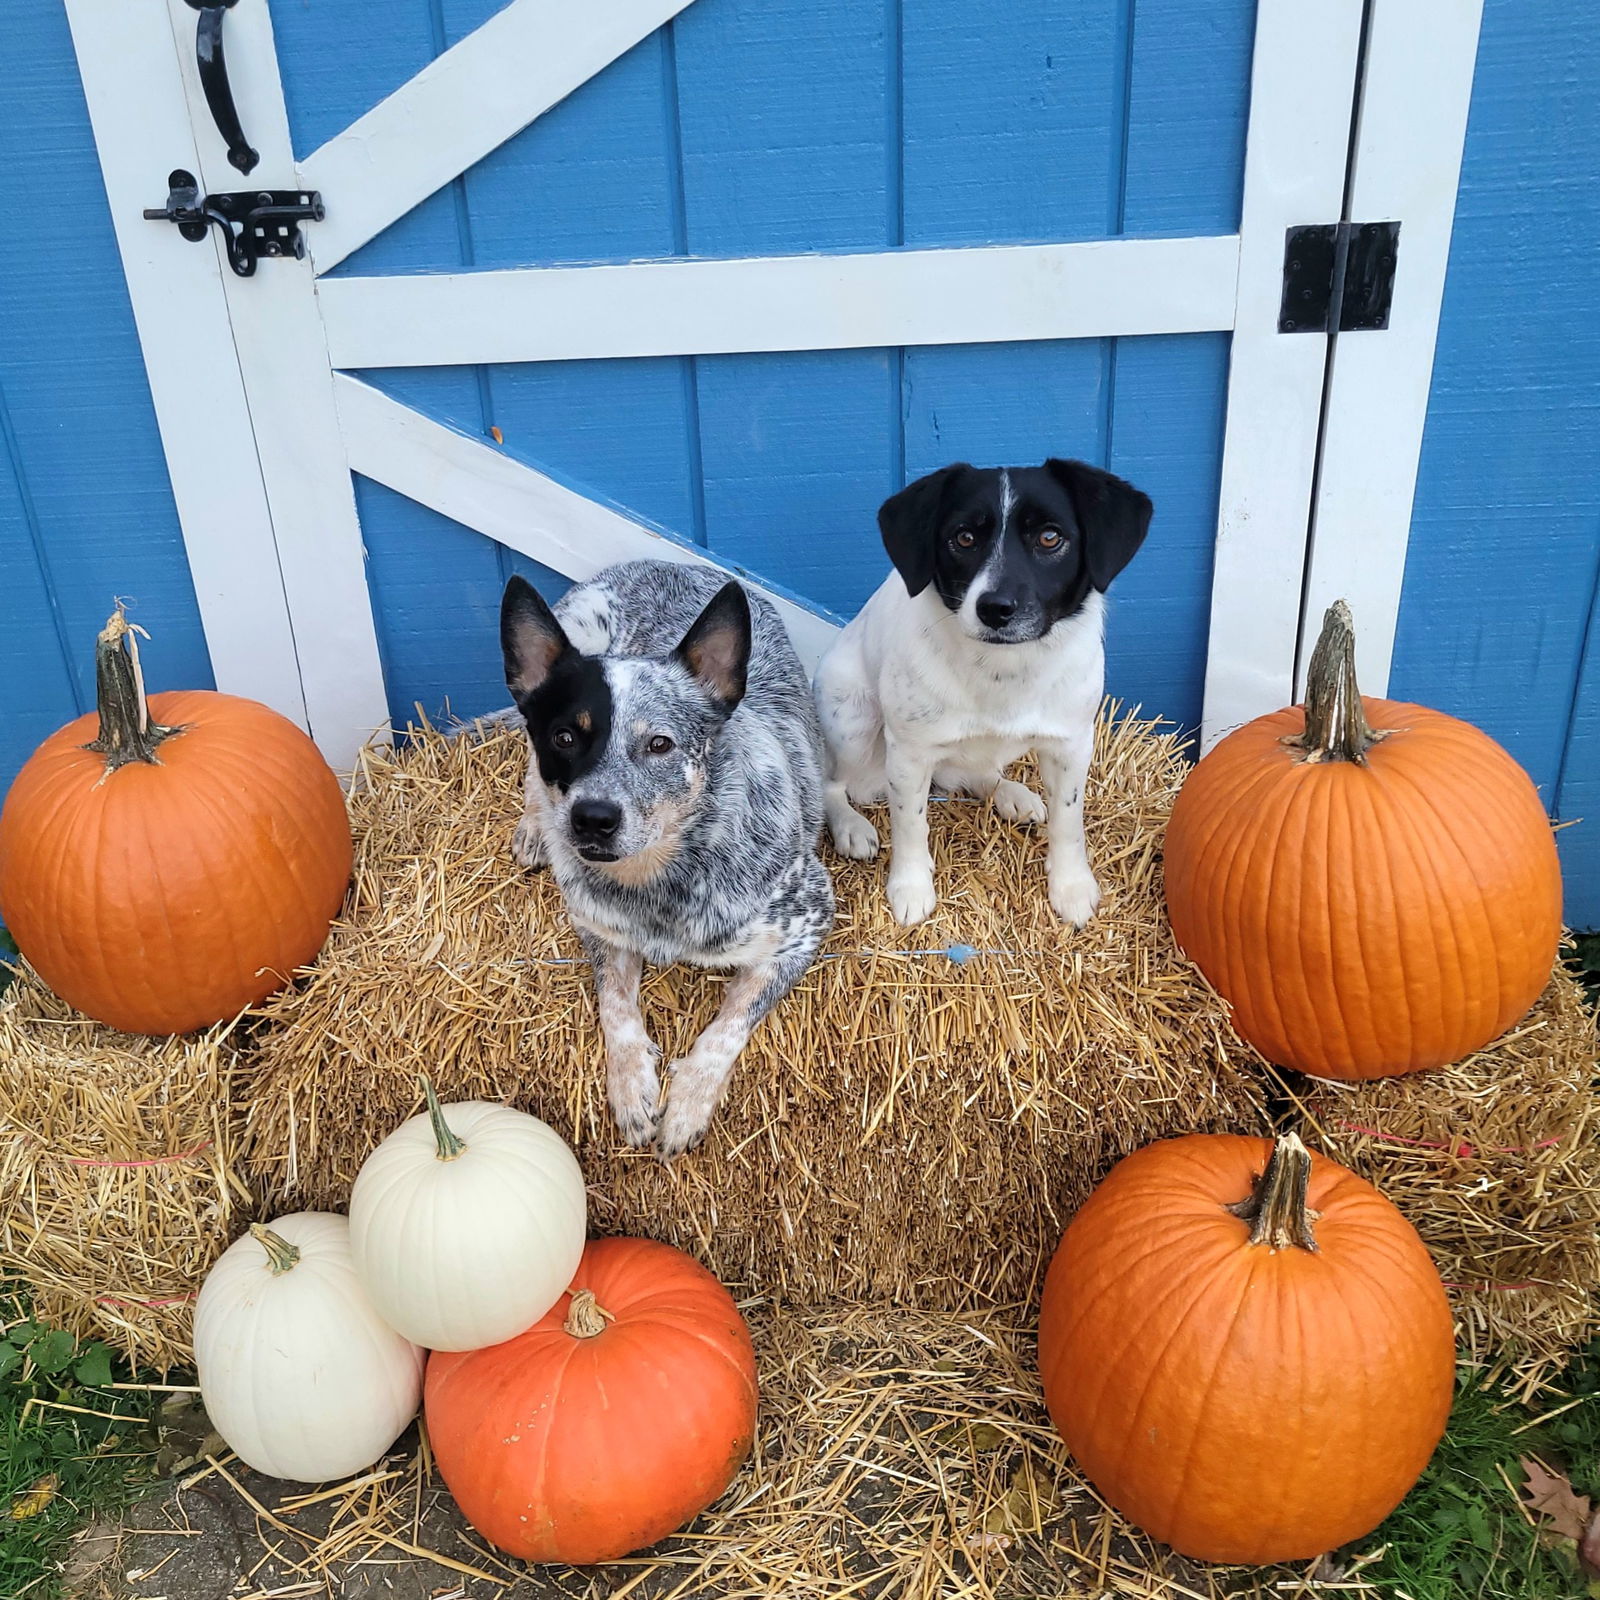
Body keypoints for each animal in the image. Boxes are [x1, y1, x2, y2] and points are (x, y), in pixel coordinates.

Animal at [496, 556, 838, 1158]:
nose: (592, 818)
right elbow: (615, 1007)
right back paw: (536, 825)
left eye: (660, 744)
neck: (660, 878)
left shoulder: (807, 922)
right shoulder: (596, 926)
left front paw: (686, 1105)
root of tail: (666, 559)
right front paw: (631, 1088)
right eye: (564, 737)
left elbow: (730, 1023)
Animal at [819, 460, 1145, 928]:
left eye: (1050, 537)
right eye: (964, 538)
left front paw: (1070, 887)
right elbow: (910, 825)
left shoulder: (1071, 744)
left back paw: (1013, 794)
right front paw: (911, 888)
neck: (1002, 670)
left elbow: (1068, 821)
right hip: (852, 721)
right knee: (831, 783)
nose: (995, 608)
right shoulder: (909, 754)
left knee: (975, 773)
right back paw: (849, 824)